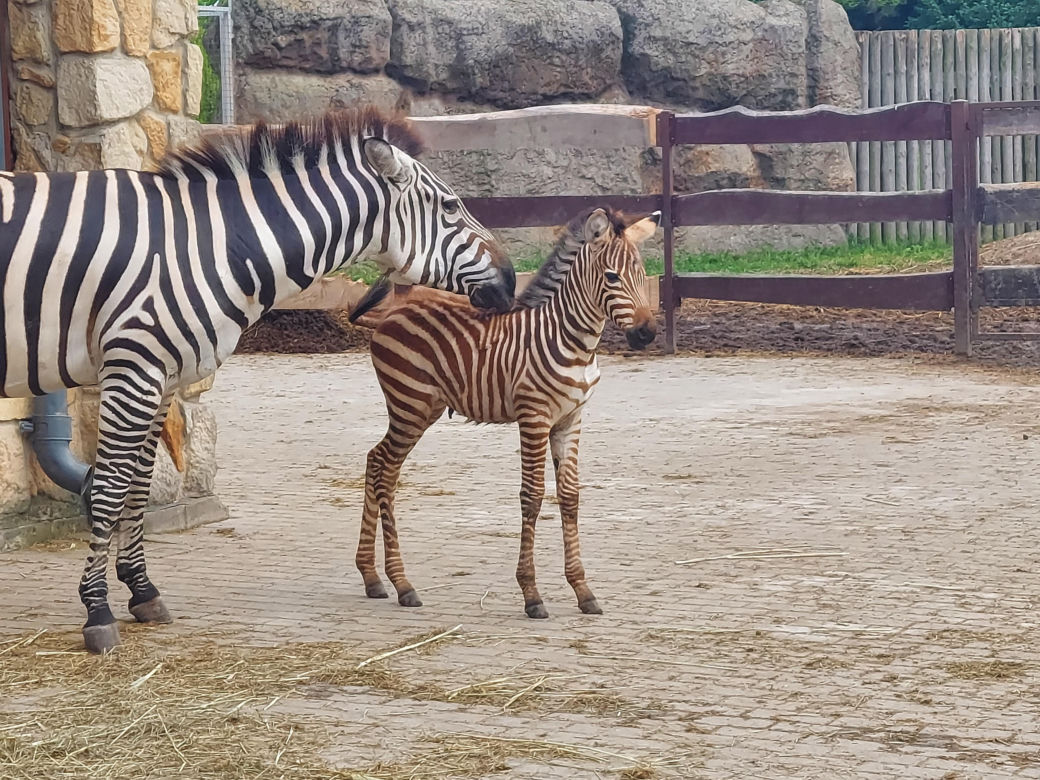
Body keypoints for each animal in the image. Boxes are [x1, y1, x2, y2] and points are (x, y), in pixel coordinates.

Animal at [0, 104, 515, 654]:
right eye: (451, 207)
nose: (509, 282)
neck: (211, 246)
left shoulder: (162, 376)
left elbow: (140, 486)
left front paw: (142, 592)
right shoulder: (134, 365)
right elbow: (110, 488)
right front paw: (97, 611)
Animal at [355, 206, 659, 619]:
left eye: (643, 275)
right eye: (612, 276)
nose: (646, 334)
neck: (572, 342)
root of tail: (395, 309)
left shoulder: (570, 421)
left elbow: (570, 498)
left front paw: (583, 590)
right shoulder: (534, 418)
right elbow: (532, 497)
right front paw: (532, 595)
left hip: (419, 408)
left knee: (376, 461)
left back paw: (372, 577)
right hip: (410, 405)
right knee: (385, 471)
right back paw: (402, 584)